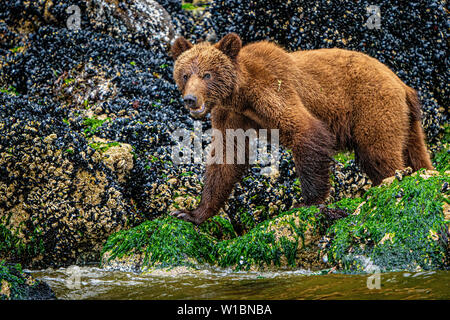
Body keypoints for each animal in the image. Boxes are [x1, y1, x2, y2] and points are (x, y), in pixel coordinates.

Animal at [169, 33, 432, 225]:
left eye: (207, 74)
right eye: (185, 74)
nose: (190, 99)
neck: (240, 94)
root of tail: (401, 83)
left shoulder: (271, 89)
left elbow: (306, 131)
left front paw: (307, 202)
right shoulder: (231, 116)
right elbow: (226, 157)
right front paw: (191, 213)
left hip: (373, 107)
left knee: (379, 152)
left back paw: (394, 179)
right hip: (408, 122)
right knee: (415, 152)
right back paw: (422, 172)